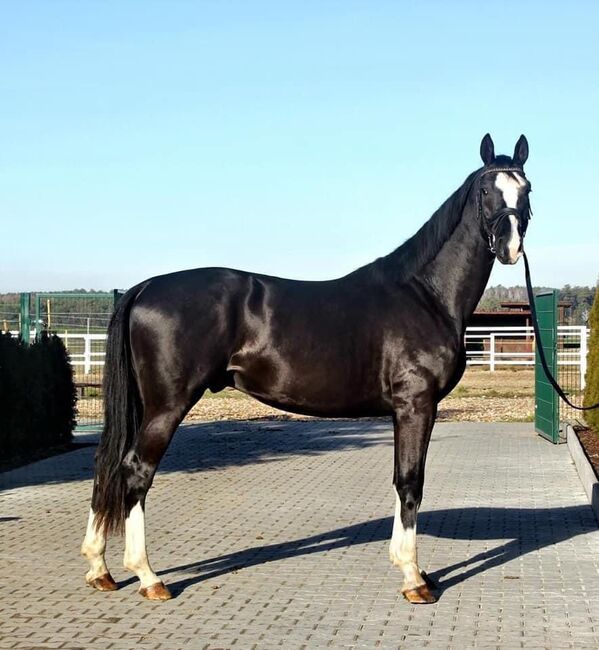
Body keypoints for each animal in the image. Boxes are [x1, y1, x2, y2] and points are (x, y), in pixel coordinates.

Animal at [82, 133, 532, 604]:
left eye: (527, 189)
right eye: (486, 190)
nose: (510, 246)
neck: (424, 295)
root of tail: (144, 287)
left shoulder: (405, 410)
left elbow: (399, 480)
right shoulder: (416, 405)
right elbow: (410, 482)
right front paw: (414, 578)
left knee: (107, 464)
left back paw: (100, 569)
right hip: (167, 405)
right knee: (137, 469)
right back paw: (148, 576)